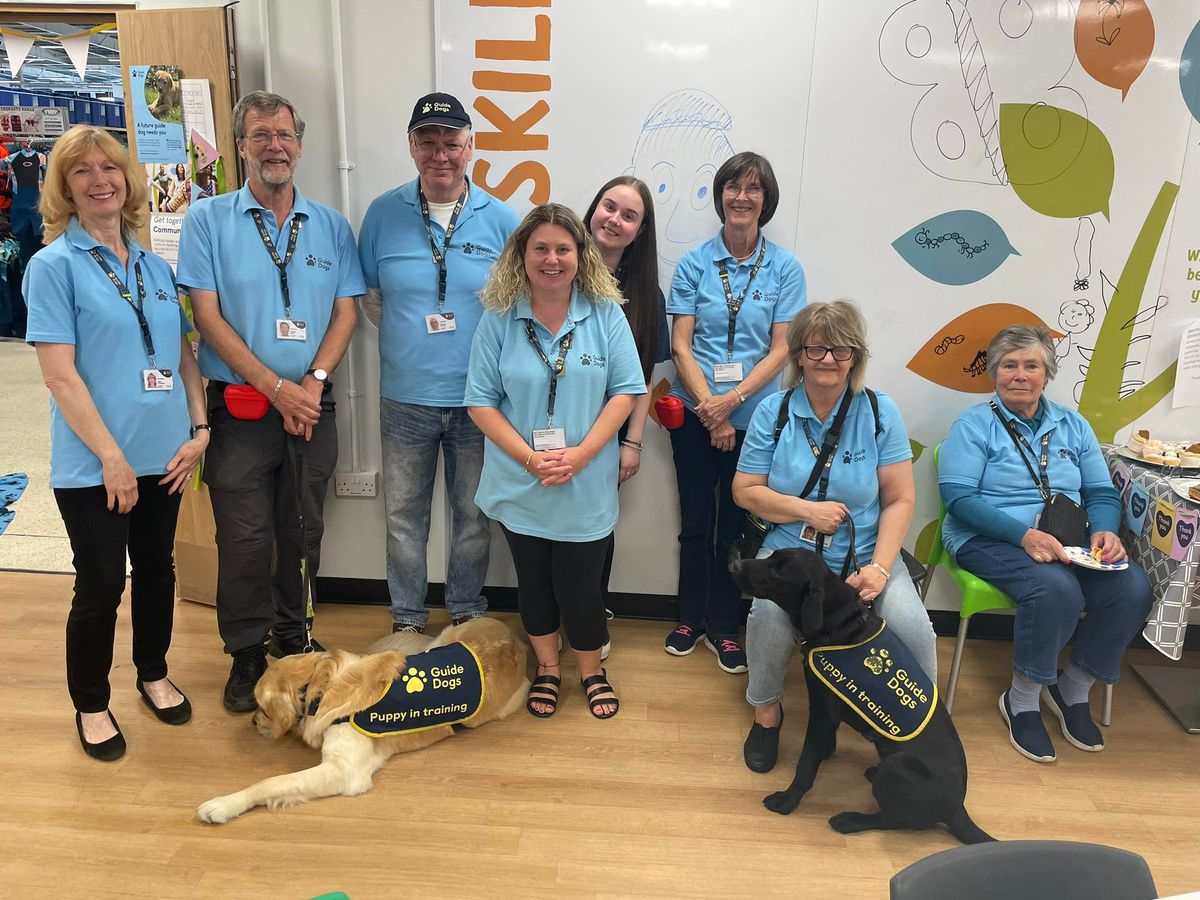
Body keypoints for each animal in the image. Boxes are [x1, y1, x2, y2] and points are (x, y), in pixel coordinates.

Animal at [195, 619, 525, 825]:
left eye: (263, 708)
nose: (252, 722)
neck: (321, 686)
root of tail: (516, 641)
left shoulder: (343, 770)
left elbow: (270, 782)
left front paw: (222, 804)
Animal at [729, 547, 993, 849]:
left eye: (778, 572)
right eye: (771, 557)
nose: (734, 565)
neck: (840, 625)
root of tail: (957, 809)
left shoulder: (823, 710)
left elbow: (806, 763)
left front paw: (788, 800)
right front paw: (825, 752)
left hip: (897, 766)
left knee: (894, 820)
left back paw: (849, 820)